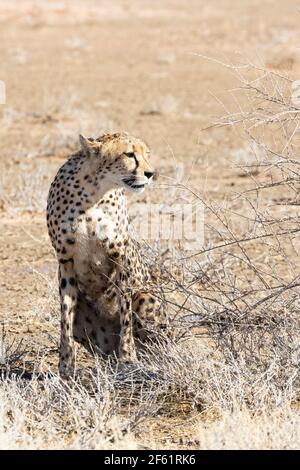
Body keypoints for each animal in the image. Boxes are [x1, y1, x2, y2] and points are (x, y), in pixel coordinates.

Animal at [47, 131, 164, 378]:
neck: (94, 192)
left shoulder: (120, 258)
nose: (150, 174)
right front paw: (66, 368)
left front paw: (128, 359)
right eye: (129, 154)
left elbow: (126, 317)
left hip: (146, 296)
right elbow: (65, 322)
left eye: (146, 154)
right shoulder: (66, 261)